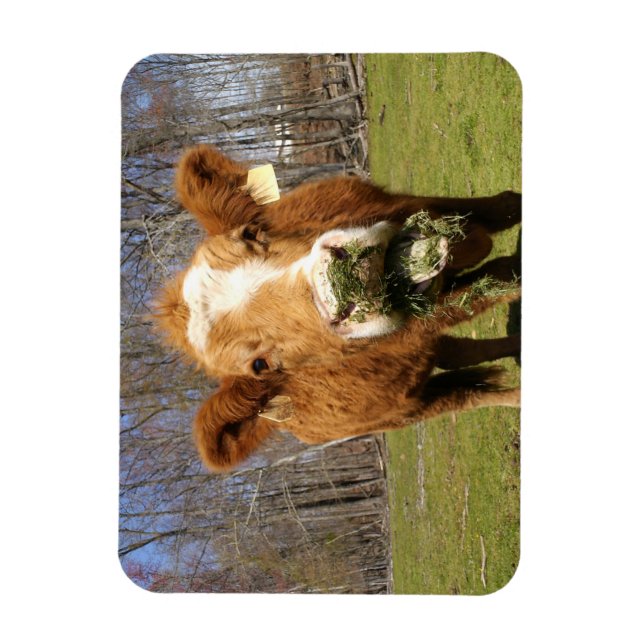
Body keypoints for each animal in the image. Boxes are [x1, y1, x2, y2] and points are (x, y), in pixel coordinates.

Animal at [154, 145, 521, 472]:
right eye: (260, 364)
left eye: (251, 234)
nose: (340, 280)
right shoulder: (420, 323)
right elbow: (497, 280)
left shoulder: (412, 205)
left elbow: (503, 207)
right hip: (403, 411)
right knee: (466, 394)